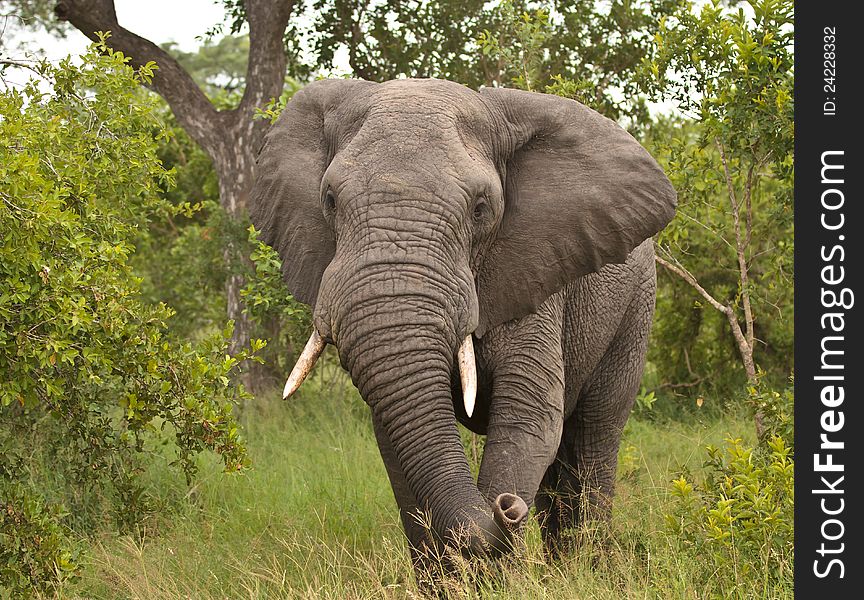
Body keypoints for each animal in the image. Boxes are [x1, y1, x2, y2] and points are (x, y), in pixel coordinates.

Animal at [250, 77, 676, 568]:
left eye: (481, 208)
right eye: (330, 200)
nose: (507, 507)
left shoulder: (536, 275)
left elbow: (529, 418)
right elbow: (398, 447)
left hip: (636, 306)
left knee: (592, 440)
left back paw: (585, 566)